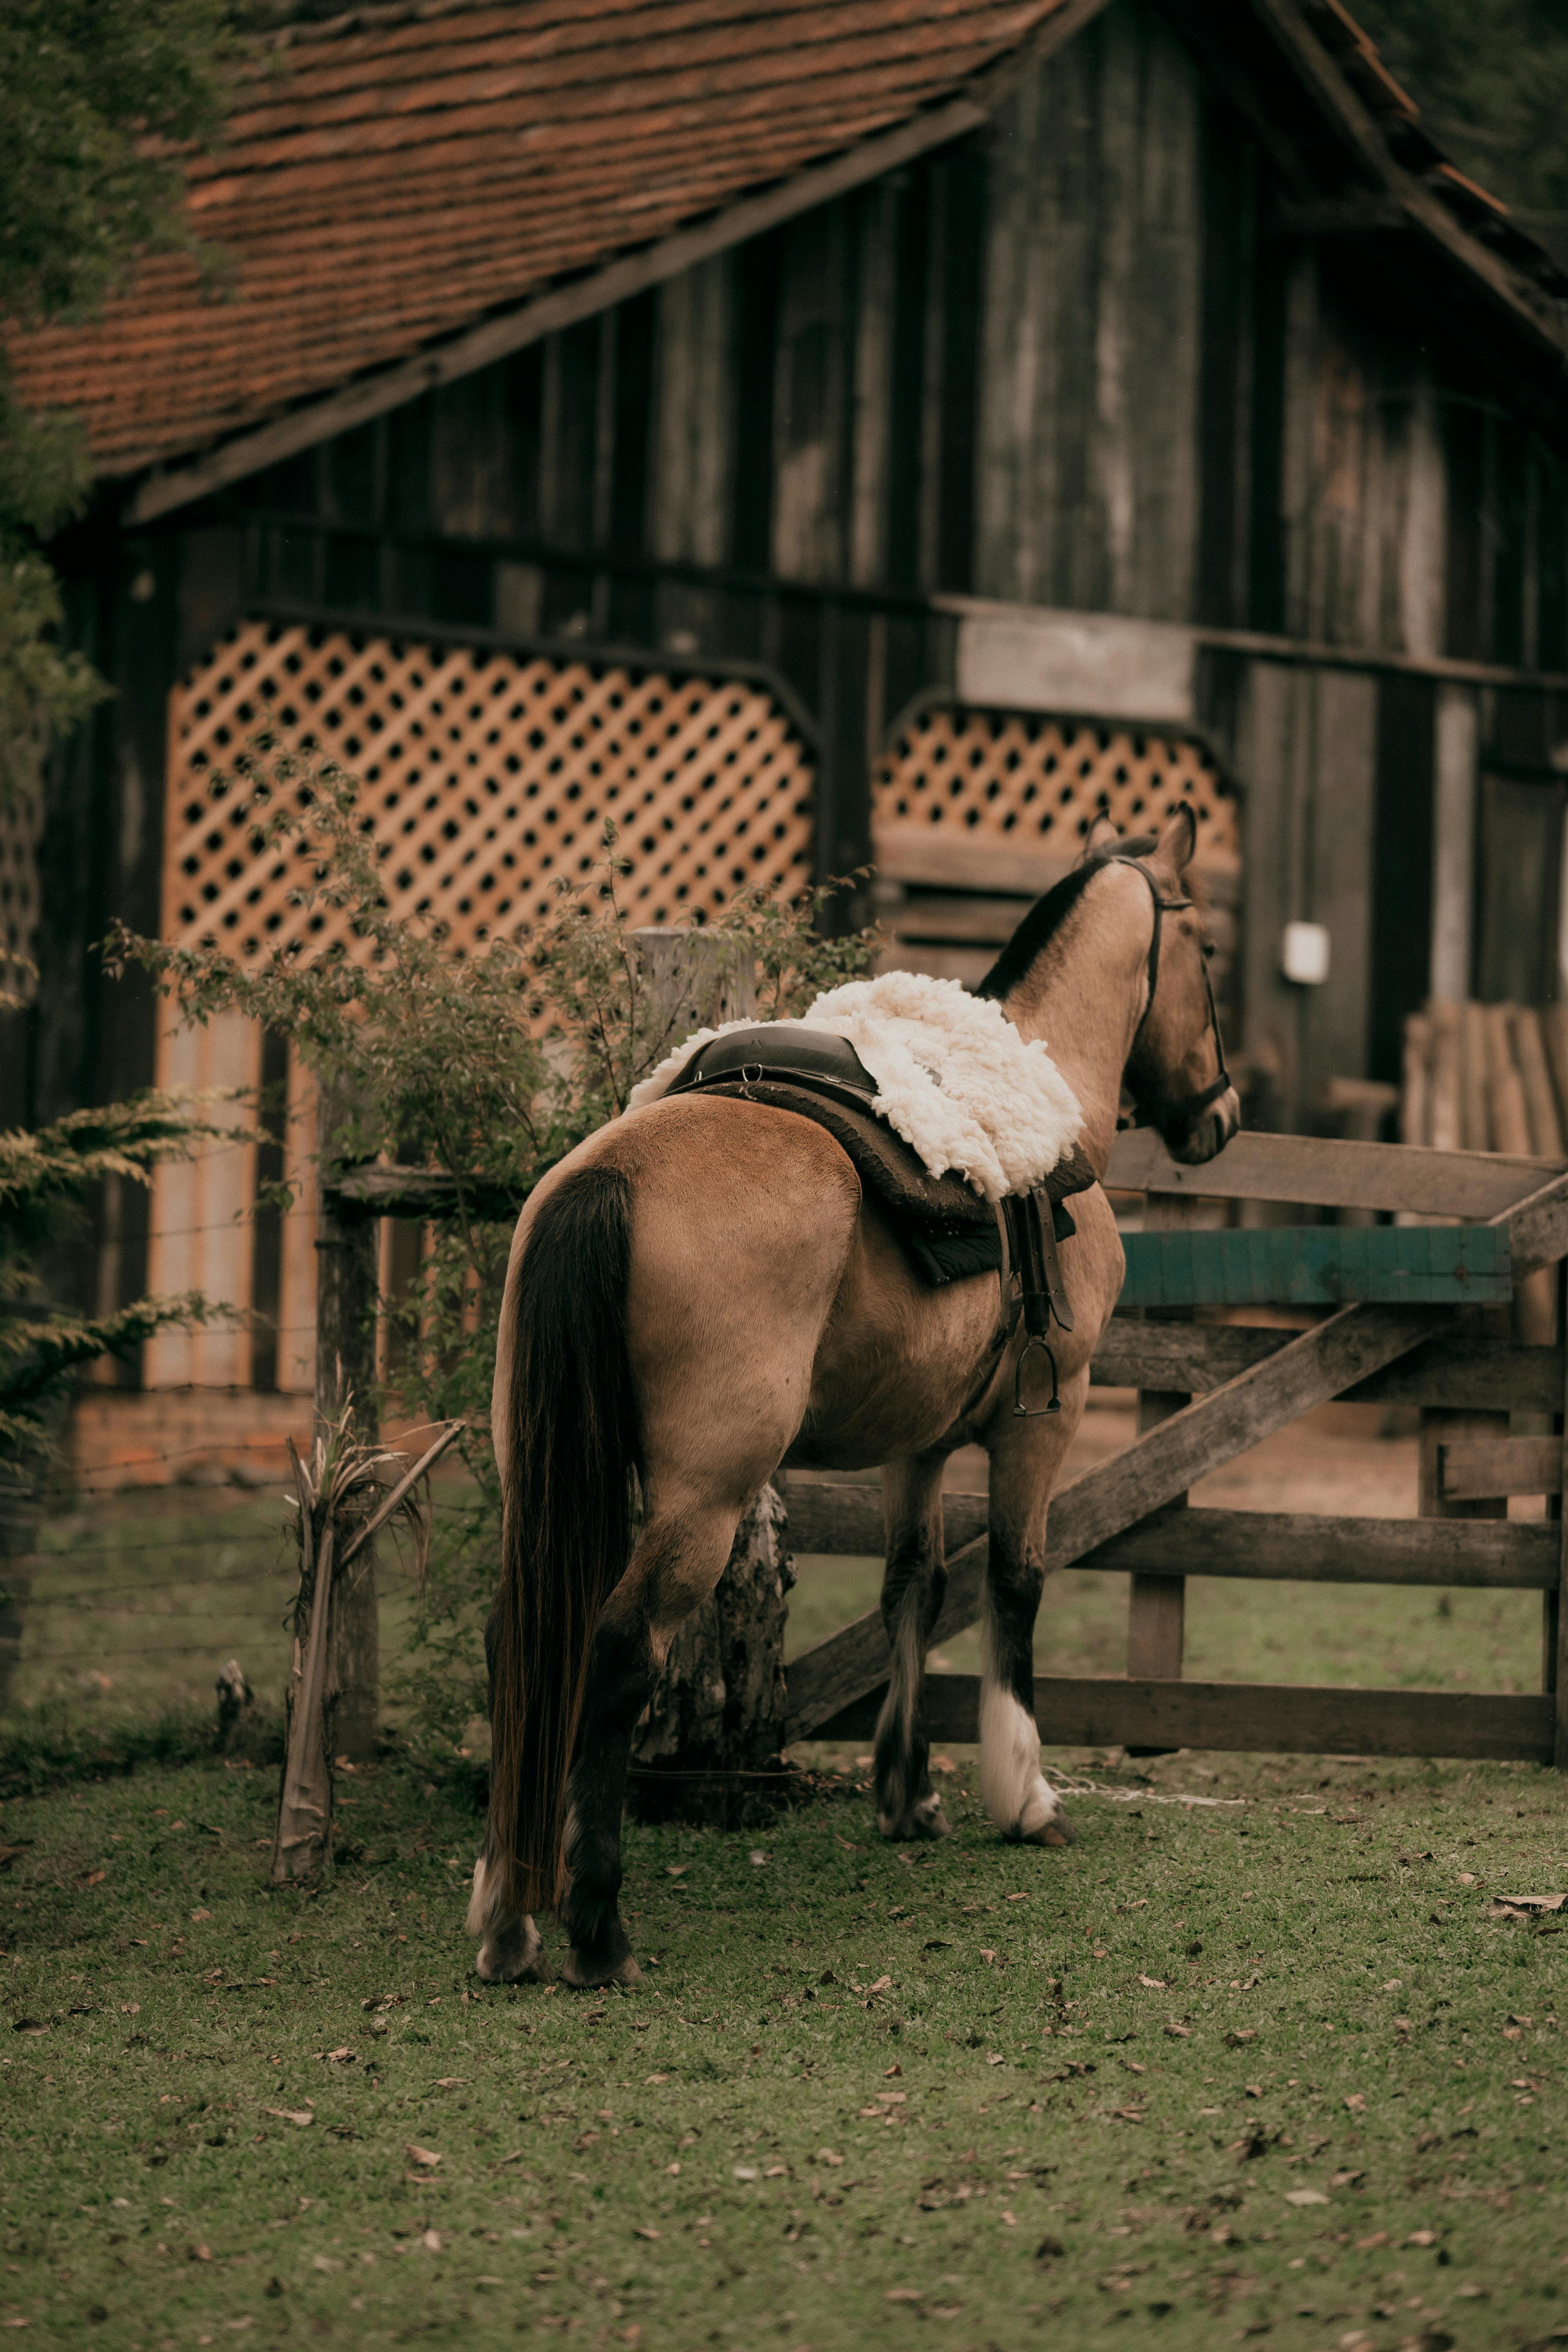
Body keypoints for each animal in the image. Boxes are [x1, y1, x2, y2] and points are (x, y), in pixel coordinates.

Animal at [468, 804, 1239, 1987]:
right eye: (1207, 953)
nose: (1223, 1114)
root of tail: (613, 1176)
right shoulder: (1046, 1418)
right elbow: (1015, 1583)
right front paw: (1024, 1794)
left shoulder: (917, 1442)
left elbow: (911, 1587)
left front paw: (906, 1792)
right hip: (703, 1499)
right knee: (617, 1650)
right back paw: (596, 1925)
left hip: (547, 1477)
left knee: (524, 1641)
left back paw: (509, 1915)